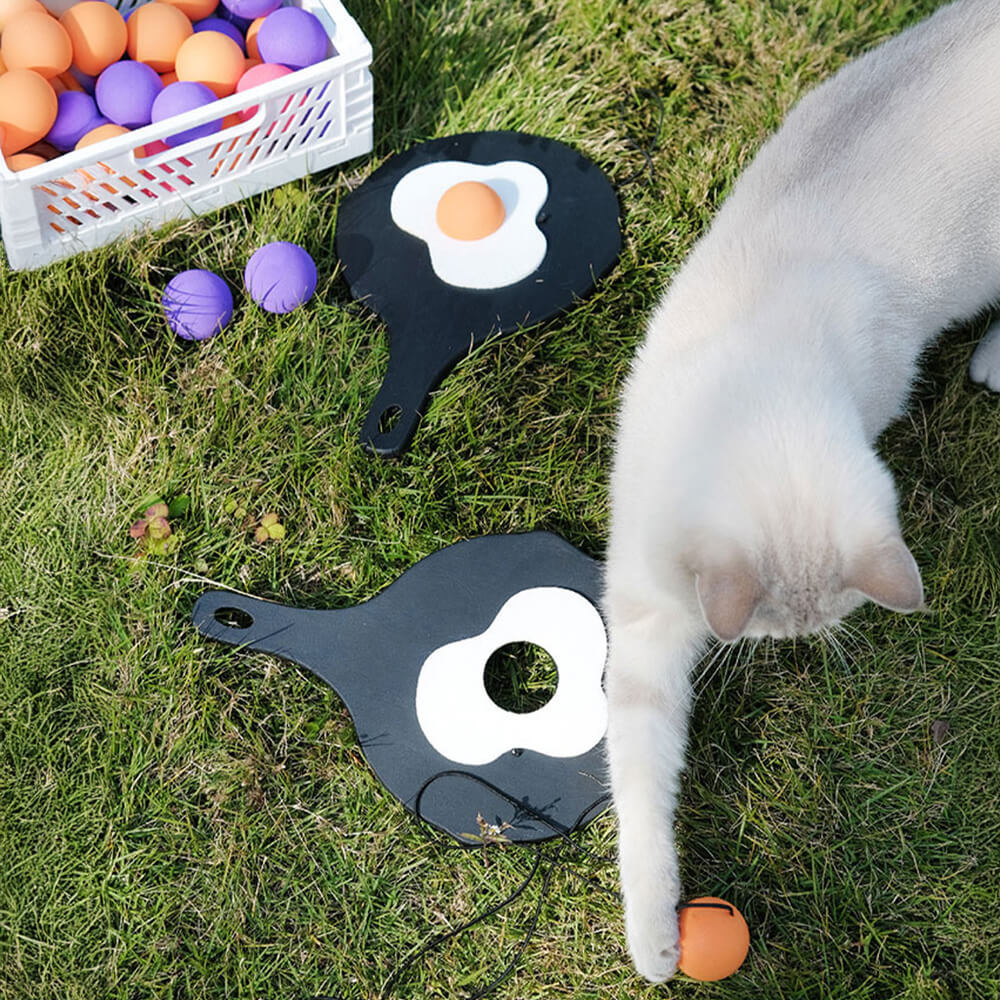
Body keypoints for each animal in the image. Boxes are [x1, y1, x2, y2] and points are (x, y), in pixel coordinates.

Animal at [600, 0, 1000, 980]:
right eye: (777, 627)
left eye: (803, 627)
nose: (794, 645)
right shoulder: (644, 622)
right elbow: (640, 789)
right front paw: (653, 940)